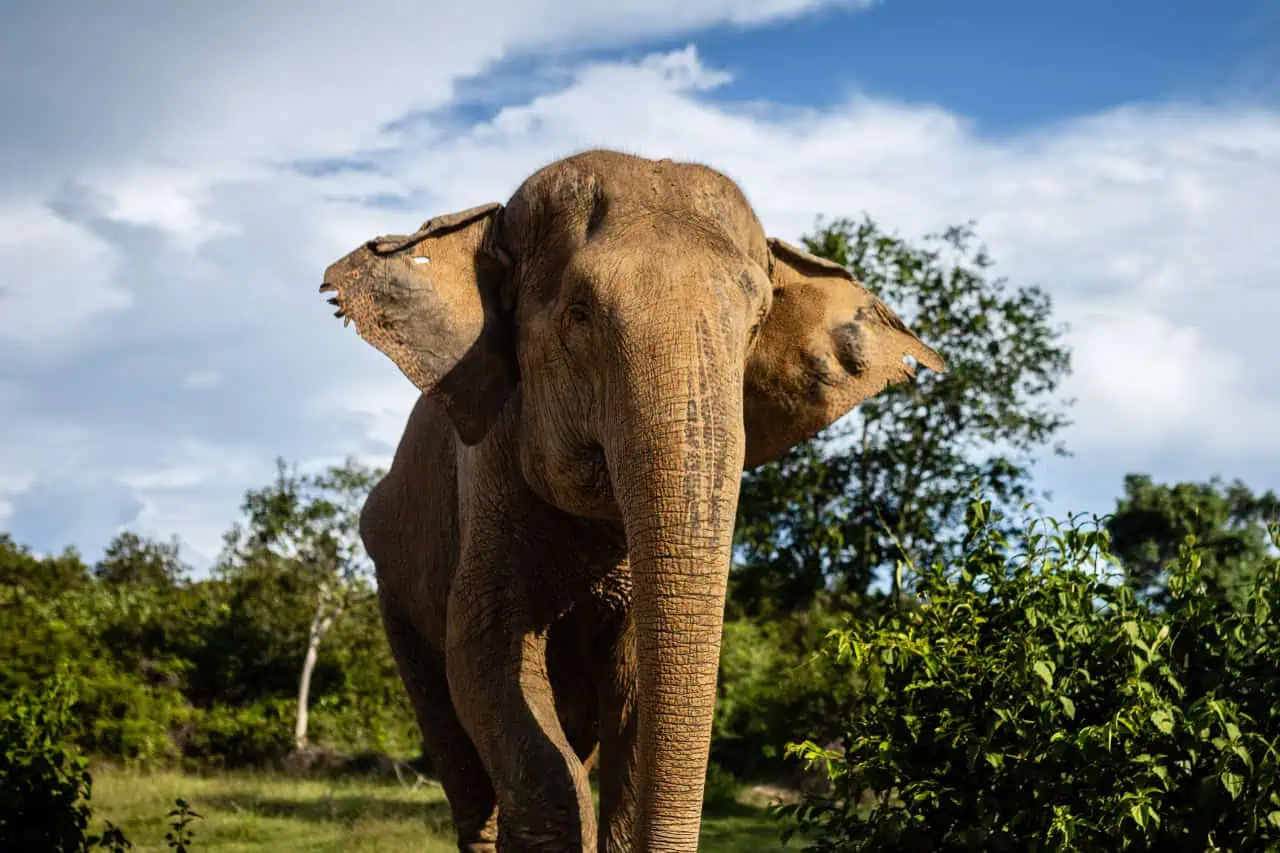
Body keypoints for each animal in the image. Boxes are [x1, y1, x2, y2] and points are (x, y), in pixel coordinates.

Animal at [319, 149, 944, 852]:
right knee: (457, 747)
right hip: (393, 592)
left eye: (756, 325)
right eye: (579, 313)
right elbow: (483, 656)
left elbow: (638, 692)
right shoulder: (486, 481)